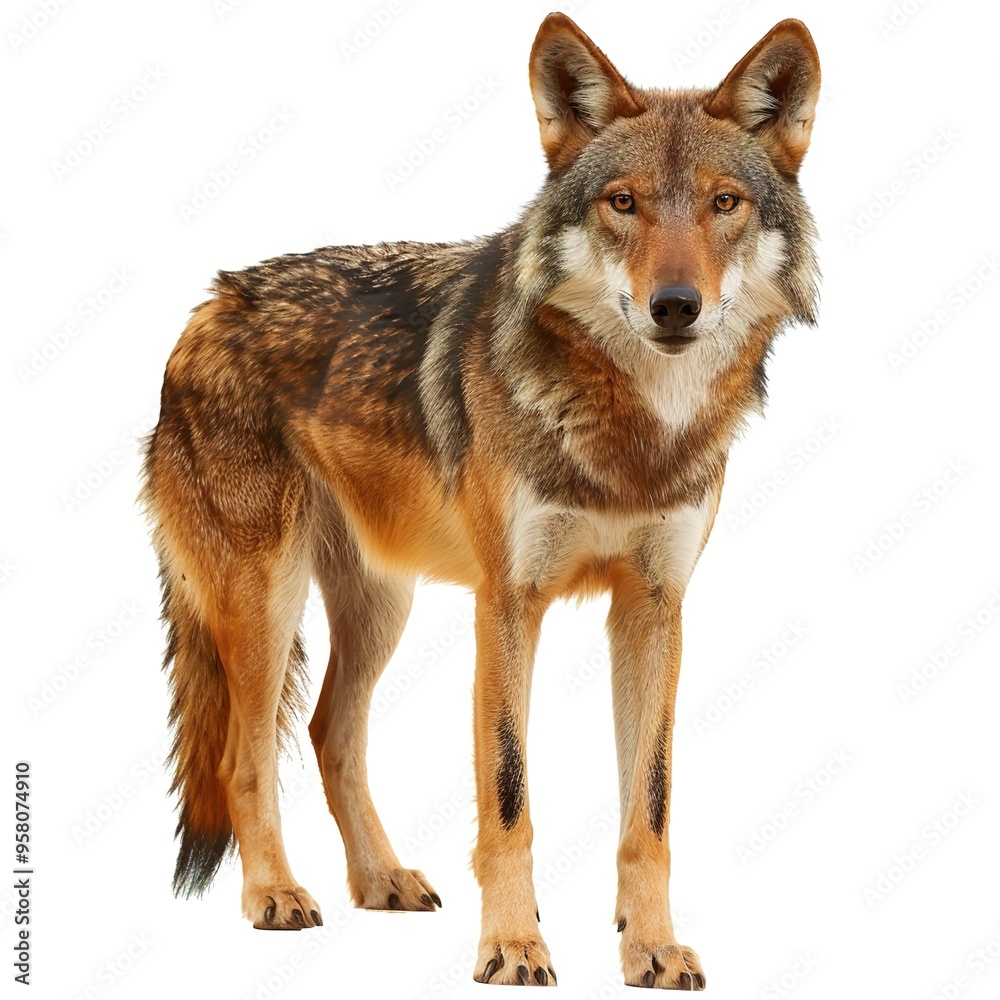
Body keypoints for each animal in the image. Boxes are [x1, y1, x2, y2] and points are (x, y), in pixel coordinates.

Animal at [142, 13, 819, 988]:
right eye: (623, 203)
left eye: (724, 204)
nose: (675, 305)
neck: (631, 435)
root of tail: (205, 308)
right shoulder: (508, 602)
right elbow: (508, 795)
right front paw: (512, 945)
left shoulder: (655, 607)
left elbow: (648, 809)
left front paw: (650, 946)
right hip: (264, 601)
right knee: (246, 754)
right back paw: (275, 894)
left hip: (379, 606)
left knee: (329, 733)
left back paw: (380, 880)